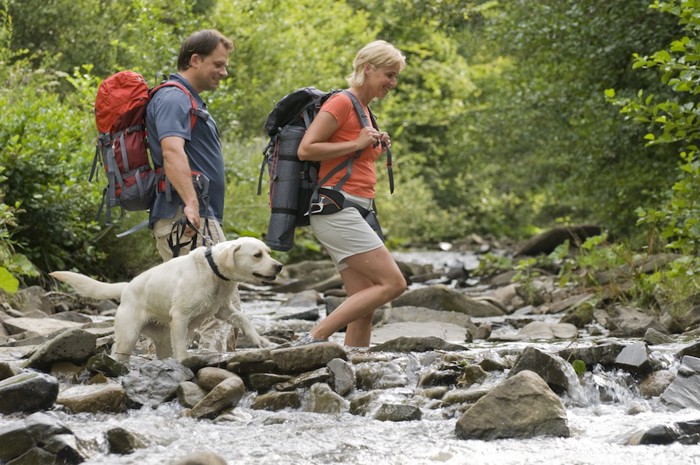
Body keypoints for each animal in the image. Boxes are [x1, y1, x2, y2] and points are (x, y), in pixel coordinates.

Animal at [49, 237, 282, 360]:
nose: (279, 266)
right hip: (128, 335)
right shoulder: (180, 316)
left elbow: (243, 319)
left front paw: (260, 340)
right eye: (257, 255)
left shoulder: (222, 309)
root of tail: (127, 287)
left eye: (269, 252)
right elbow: (181, 347)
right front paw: (185, 362)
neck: (213, 270)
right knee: (120, 351)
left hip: (161, 339)